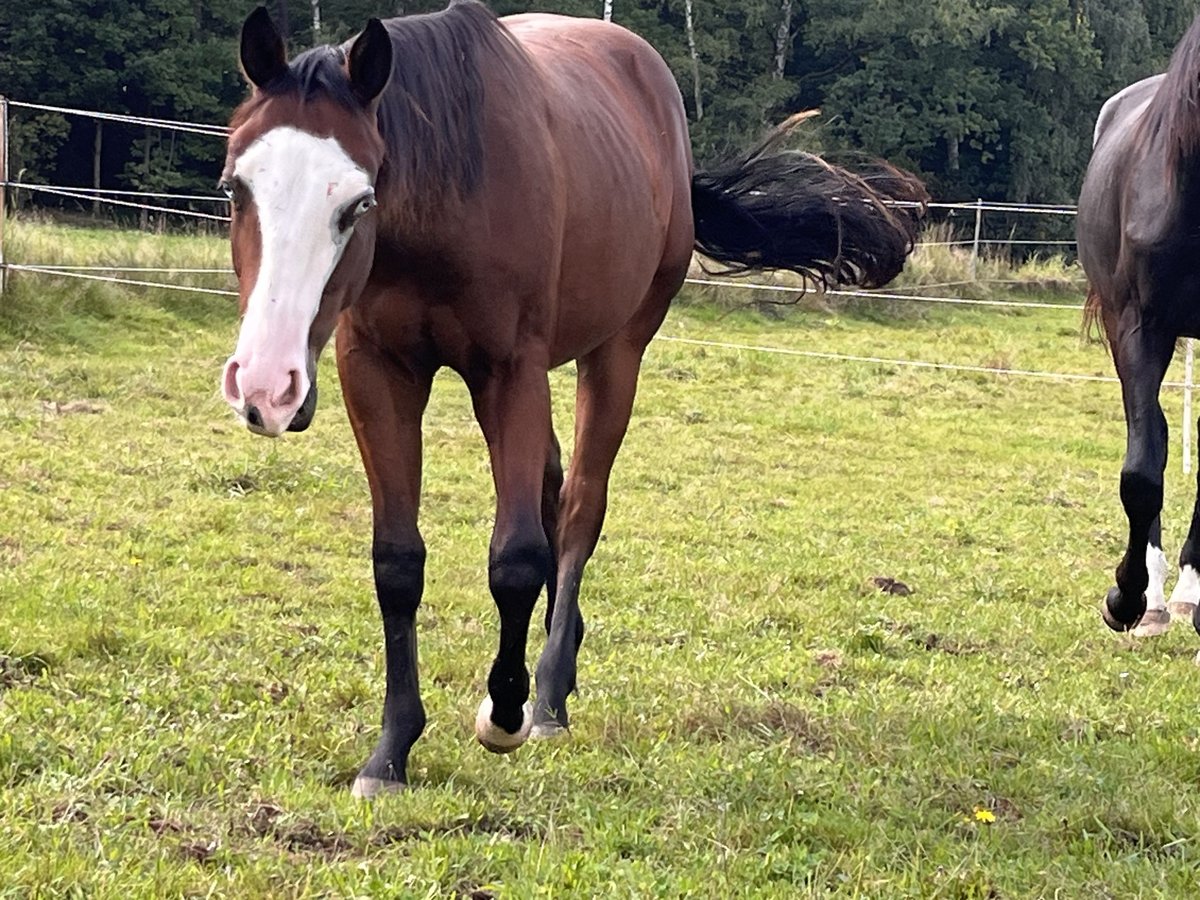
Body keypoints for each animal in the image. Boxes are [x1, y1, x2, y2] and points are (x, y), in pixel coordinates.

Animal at [220, 0, 926, 797]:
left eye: (359, 201)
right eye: (234, 186)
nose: (265, 383)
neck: (446, 200)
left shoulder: (512, 372)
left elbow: (516, 558)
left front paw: (504, 713)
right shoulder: (376, 372)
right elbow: (398, 563)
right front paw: (390, 752)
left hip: (613, 355)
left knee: (582, 504)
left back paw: (551, 692)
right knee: (556, 491)